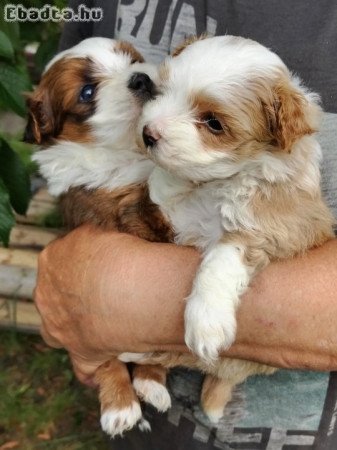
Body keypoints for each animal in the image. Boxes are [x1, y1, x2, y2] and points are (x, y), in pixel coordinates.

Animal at [25, 37, 173, 438]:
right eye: (87, 92)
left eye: (133, 60)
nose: (140, 78)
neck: (128, 152)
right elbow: (103, 356)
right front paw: (119, 406)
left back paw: (151, 381)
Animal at [119, 34, 334, 422]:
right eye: (164, 90)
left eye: (214, 123)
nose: (148, 133)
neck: (216, 184)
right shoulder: (169, 215)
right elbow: (162, 192)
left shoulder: (284, 222)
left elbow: (224, 254)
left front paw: (206, 318)